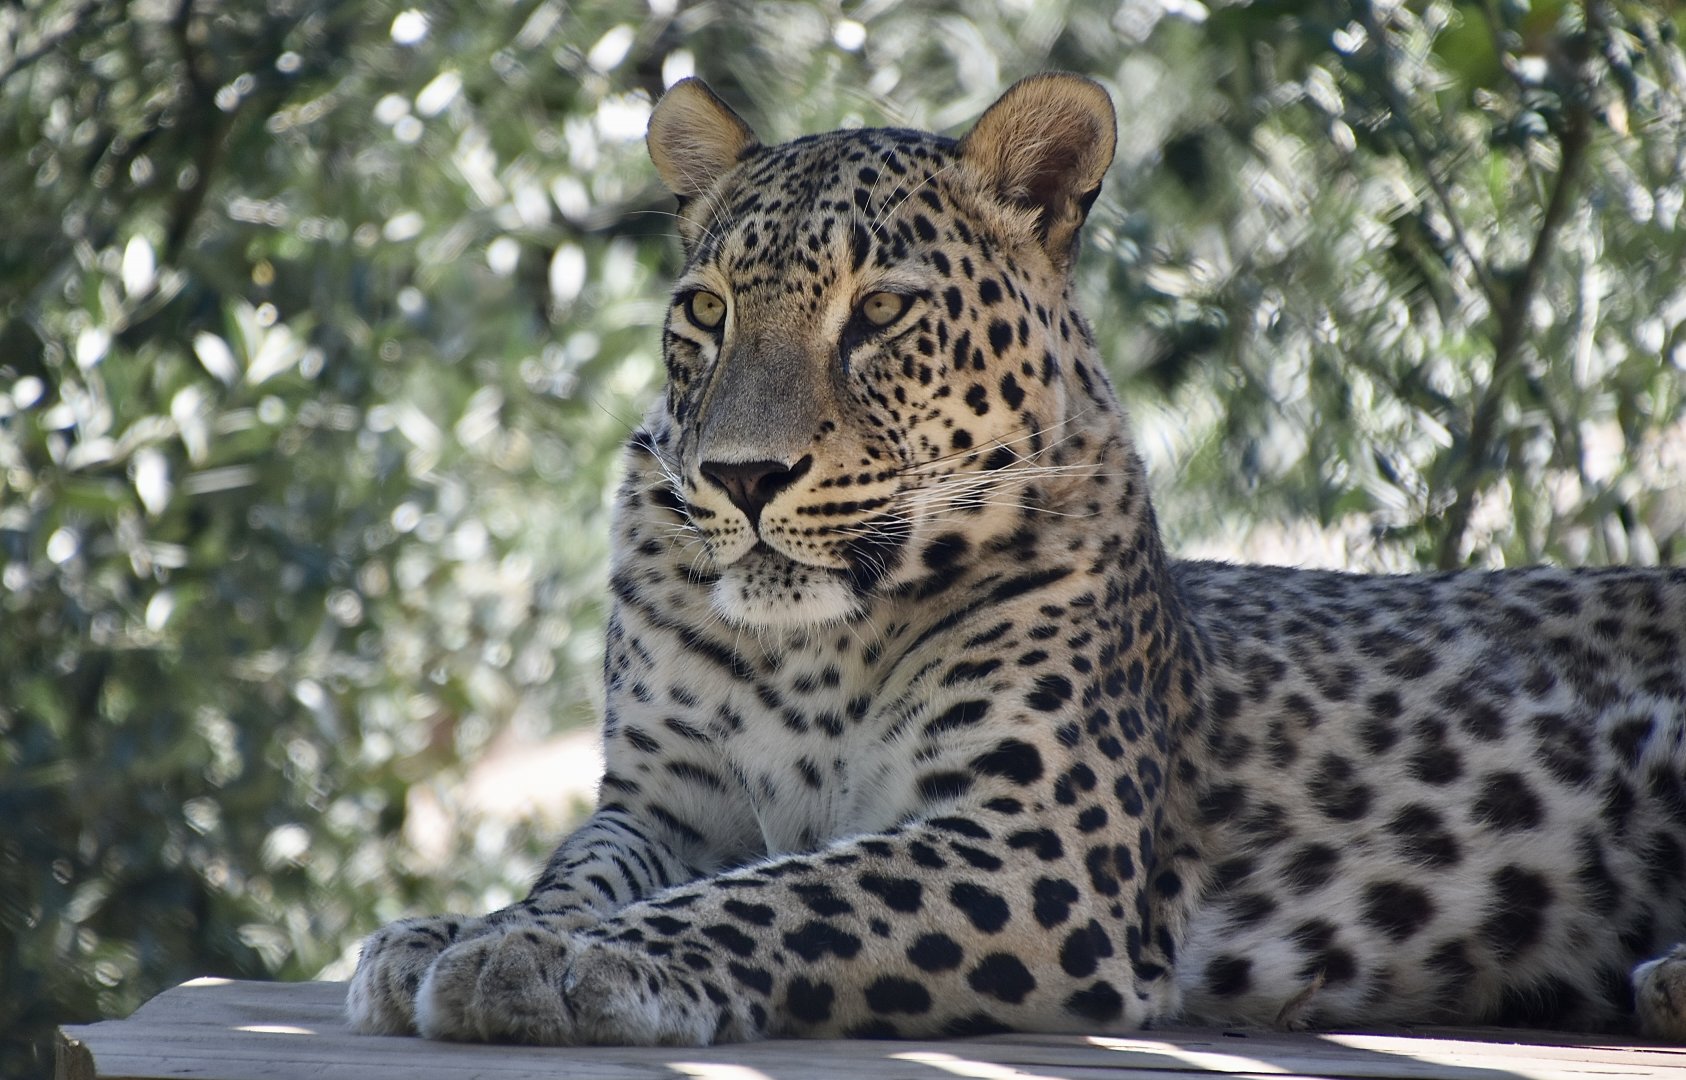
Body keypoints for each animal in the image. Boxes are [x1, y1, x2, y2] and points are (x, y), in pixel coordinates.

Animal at [347, 73, 1686, 1047]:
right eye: (708, 312)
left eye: (881, 312)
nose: (741, 477)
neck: (811, 645)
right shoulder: (667, 801)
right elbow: (584, 864)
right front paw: (461, 930)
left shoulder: (1034, 843)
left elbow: (790, 894)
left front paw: (561, 960)